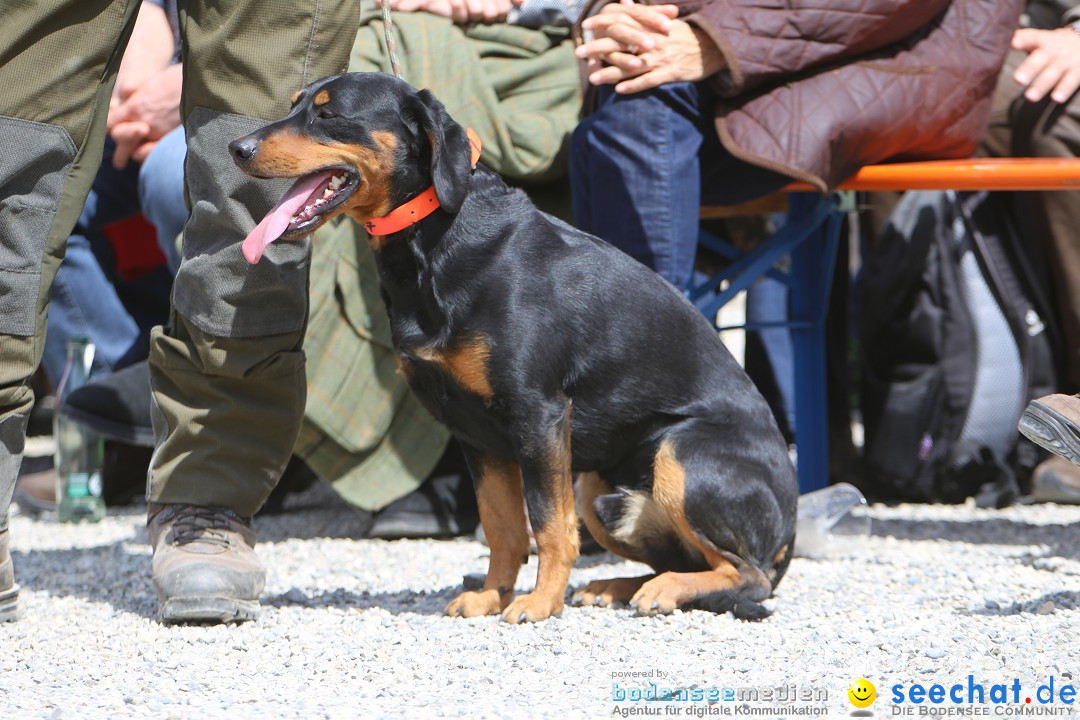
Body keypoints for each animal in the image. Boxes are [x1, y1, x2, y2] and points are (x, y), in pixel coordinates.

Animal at [232, 74, 799, 626]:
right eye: (295, 104)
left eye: (327, 114)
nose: (237, 147)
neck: (435, 240)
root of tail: (788, 531)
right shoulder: (472, 428)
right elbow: (502, 526)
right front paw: (491, 595)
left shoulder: (537, 413)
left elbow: (548, 523)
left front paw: (540, 602)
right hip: (597, 490)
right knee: (691, 559)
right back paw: (617, 587)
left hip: (677, 455)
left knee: (747, 576)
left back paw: (665, 591)